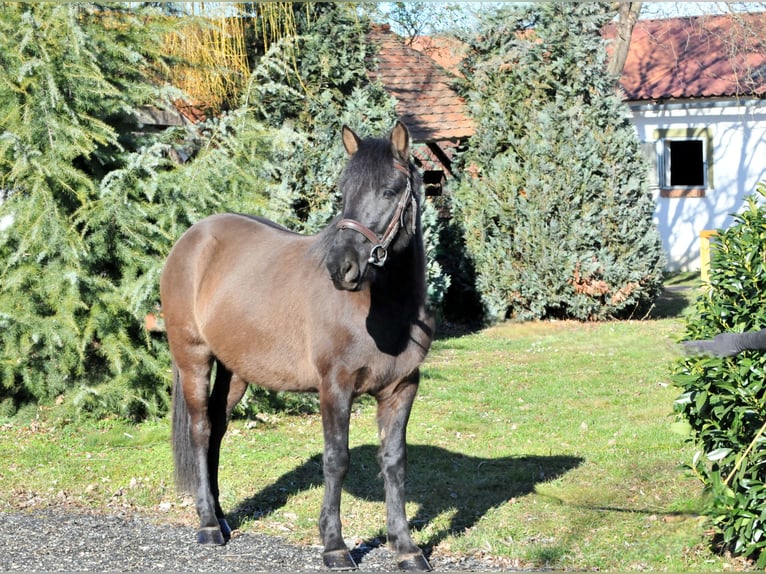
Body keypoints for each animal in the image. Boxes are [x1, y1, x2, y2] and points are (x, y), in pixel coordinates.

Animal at [160, 120, 438, 572]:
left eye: (390, 190)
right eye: (344, 191)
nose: (341, 267)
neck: (385, 311)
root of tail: (193, 238)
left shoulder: (402, 389)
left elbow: (394, 462)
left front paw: (405, 547)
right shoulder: (335, 387)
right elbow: (336, 460)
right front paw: (335, 546)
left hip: (235, 370)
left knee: (217, 428)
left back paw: (221, 517)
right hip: (193, 358)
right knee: (200, 430)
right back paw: (207, 525)